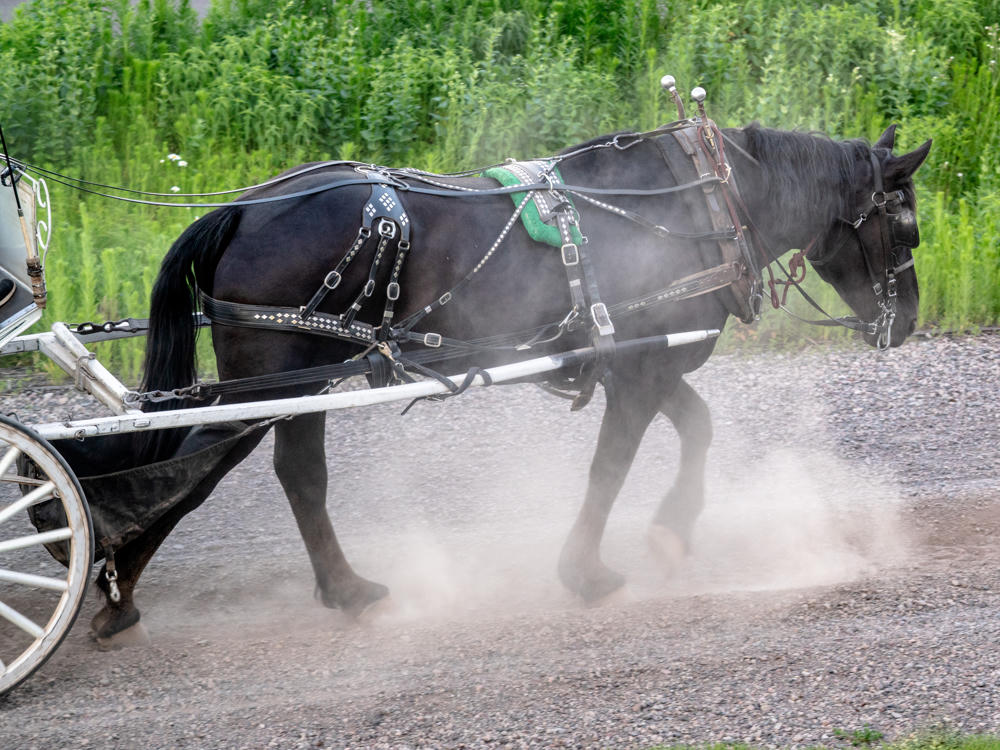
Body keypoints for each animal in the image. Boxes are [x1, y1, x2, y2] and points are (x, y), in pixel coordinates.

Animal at [84, 121, 930, 644]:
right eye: (907, 225)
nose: (909, 321)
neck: (704, 202)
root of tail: (243, 208)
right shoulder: (640, 371)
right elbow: (610, 468)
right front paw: (585, 571)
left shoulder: (643, 360)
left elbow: (698, 428)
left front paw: (673, 526)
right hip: (279, 376)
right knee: (253, 471)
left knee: (227, 466)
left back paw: (137, 585)